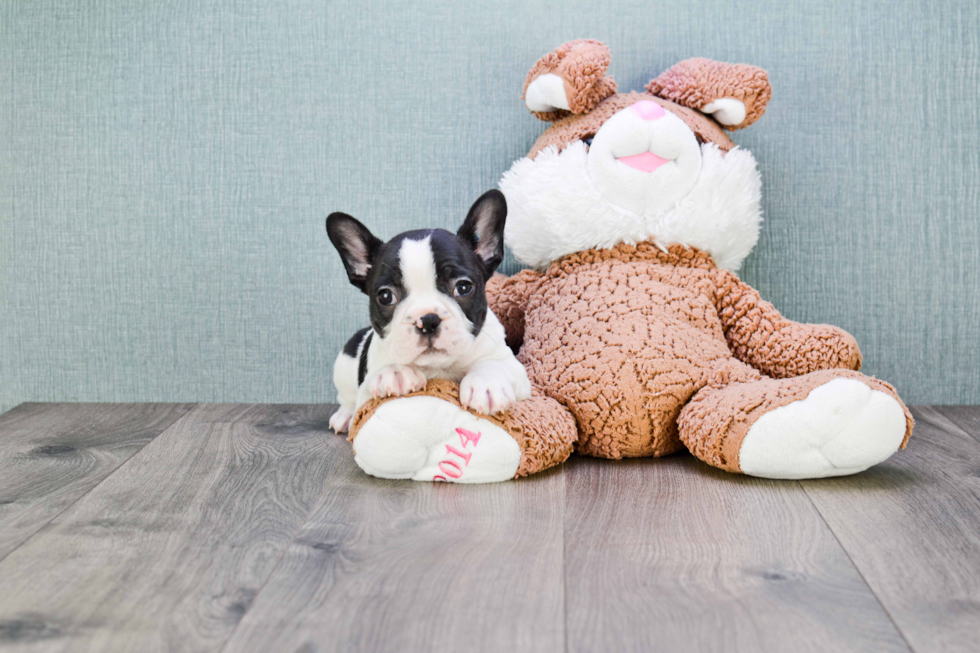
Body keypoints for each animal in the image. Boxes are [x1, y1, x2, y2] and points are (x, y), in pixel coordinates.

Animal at [326, 188, 532, 432]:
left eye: (463, 287)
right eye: (386, 296)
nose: (428, 320)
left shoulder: (516, 370)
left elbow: (494, 365)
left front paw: (487, 383)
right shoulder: (366, 399)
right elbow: (367, 392)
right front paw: (395, 372)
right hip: (343, 366)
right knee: (346, 398)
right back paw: (344, 416)